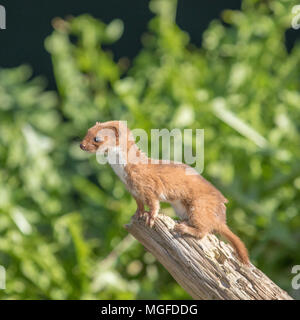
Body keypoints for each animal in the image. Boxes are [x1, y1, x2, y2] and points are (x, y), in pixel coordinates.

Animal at [79, 120, 248, 264]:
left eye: (97, 138)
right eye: (87, 131)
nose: (81, 145)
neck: (124, 174)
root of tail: (221, 215)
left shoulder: (148, 187)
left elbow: (154, 204)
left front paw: (150, 217)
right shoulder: (133, 191)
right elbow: (139, 205)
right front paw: (137, 214)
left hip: (200, 206)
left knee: (204, 230)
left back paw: (183, 228)